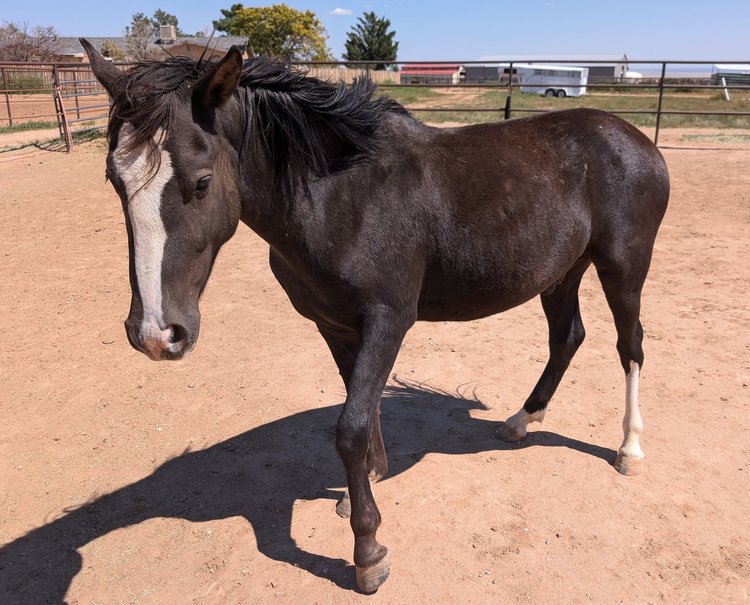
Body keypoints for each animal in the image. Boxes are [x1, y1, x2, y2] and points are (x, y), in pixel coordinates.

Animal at [80, 39, 669, 593]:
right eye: (114, 180)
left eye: (202, 182)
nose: (156, 334)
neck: (340, 197)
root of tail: (637, 140)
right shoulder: (336, 325)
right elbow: (360, 408)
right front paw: (369, 481)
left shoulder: (388, 320)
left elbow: (352, 425)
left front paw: (368, 553)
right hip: (562, 272)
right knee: (567, 338)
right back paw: (522, 421)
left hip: (623, 267)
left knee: (630, 346)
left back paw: (629, 448)